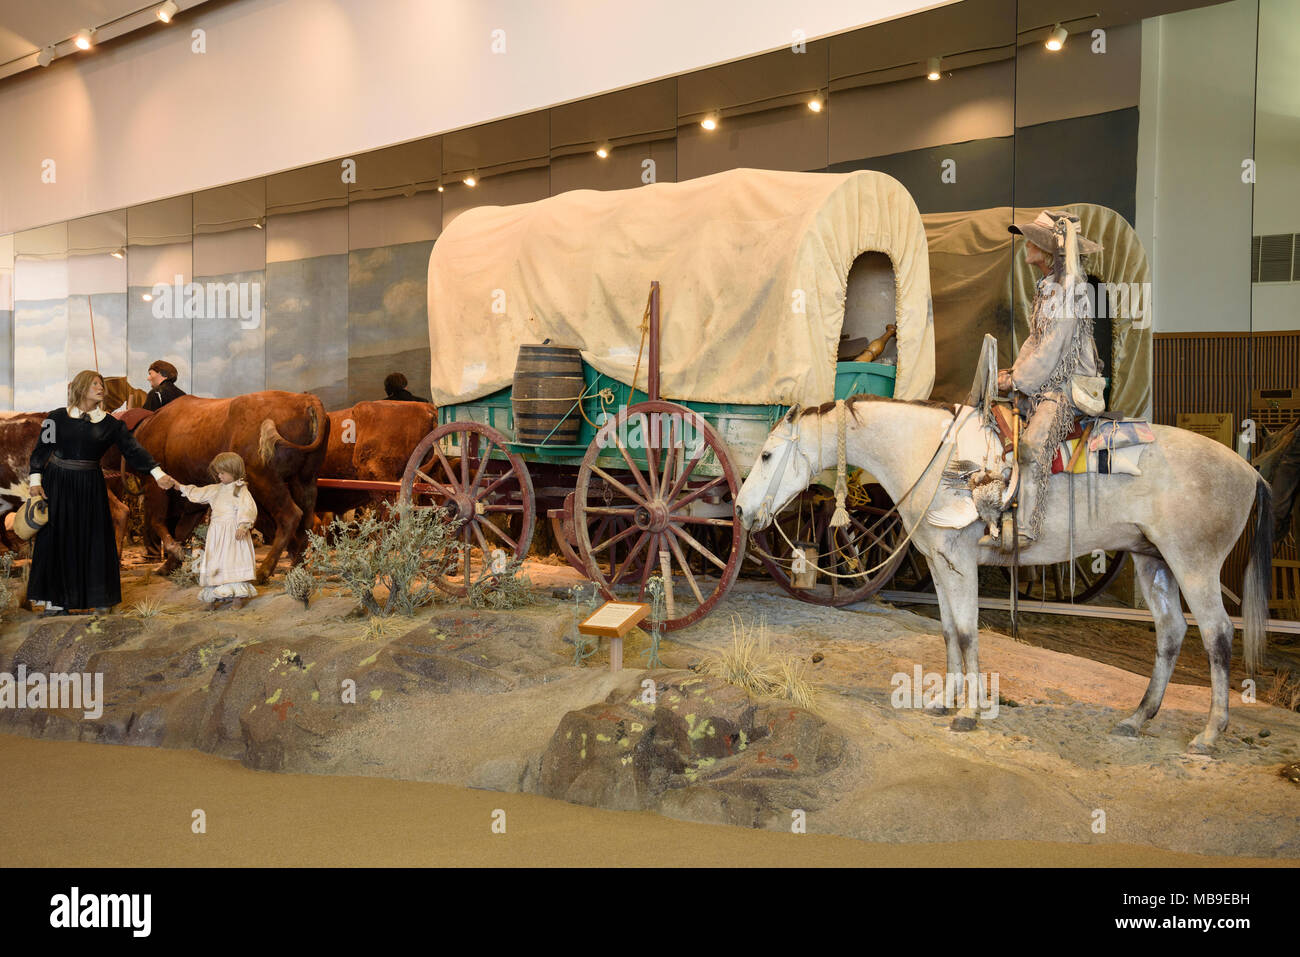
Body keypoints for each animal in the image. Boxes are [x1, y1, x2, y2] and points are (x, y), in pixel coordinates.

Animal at [738, 395, 1274, 754]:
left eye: (766, 455)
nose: (741, 509)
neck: (935, 458)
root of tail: (1250, 472)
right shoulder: (938, 564)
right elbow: (949, 632)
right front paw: (945, 702)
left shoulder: (958, 562)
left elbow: (968, 633)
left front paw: (969, 713)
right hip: (1153, 560)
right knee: (1170, 632)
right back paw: (1137, 719)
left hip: (1193, 564)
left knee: (1217, 635)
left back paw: (1209, 734)